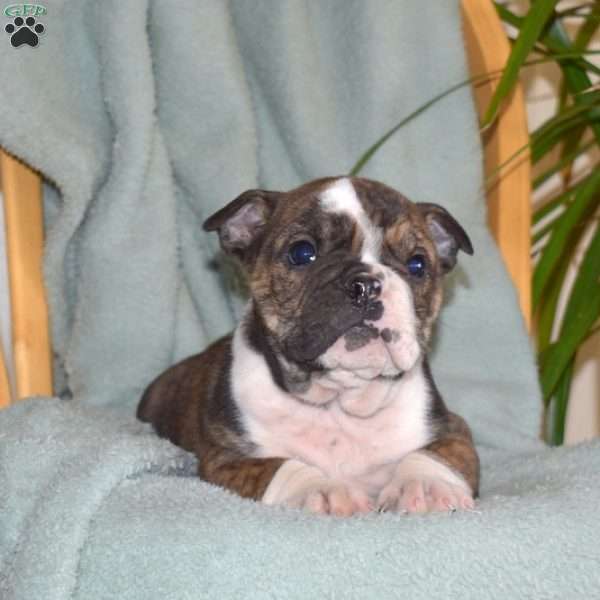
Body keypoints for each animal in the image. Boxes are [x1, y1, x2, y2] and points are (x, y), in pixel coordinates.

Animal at [138, 175, 480, 516]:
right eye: (301, 253)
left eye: (417, 264)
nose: (366, 285)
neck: (339, 395)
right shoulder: (226, 458)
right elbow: (279, 466)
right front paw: (321, 489)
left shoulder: (453, 430)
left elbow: (436, 454)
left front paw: (426, 484)